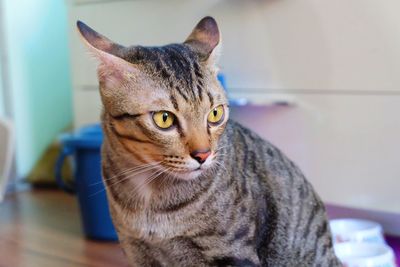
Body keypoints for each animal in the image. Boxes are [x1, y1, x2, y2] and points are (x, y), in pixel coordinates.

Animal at [76, 16, 340, 267]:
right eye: (164, 119)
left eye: (215, 114)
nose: (203, 154)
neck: (150, 198)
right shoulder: (134, 248)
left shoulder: (233, 252)